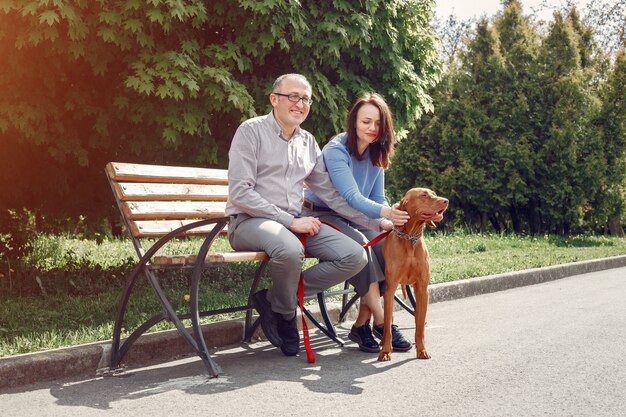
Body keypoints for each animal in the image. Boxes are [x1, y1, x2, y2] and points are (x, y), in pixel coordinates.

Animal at [378, 187, 446, 360]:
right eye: (424, 195)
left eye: (435, 194)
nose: (446, 201)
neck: (409, 239)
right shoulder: (390, 290)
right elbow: (387, 326)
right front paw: (386, 351)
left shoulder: (422, 289)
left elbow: (420, 326)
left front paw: (422, 350)